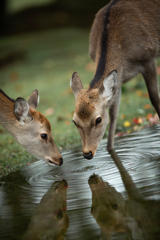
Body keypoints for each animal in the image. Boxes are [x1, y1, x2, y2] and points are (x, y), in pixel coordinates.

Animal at [70, 0, 160, 160]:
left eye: (98, 119)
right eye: (74, 121)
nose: (87, 153)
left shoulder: (148, 57)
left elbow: (155, 98)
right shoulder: (118, 81)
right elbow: (114, 113)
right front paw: (110, 149)